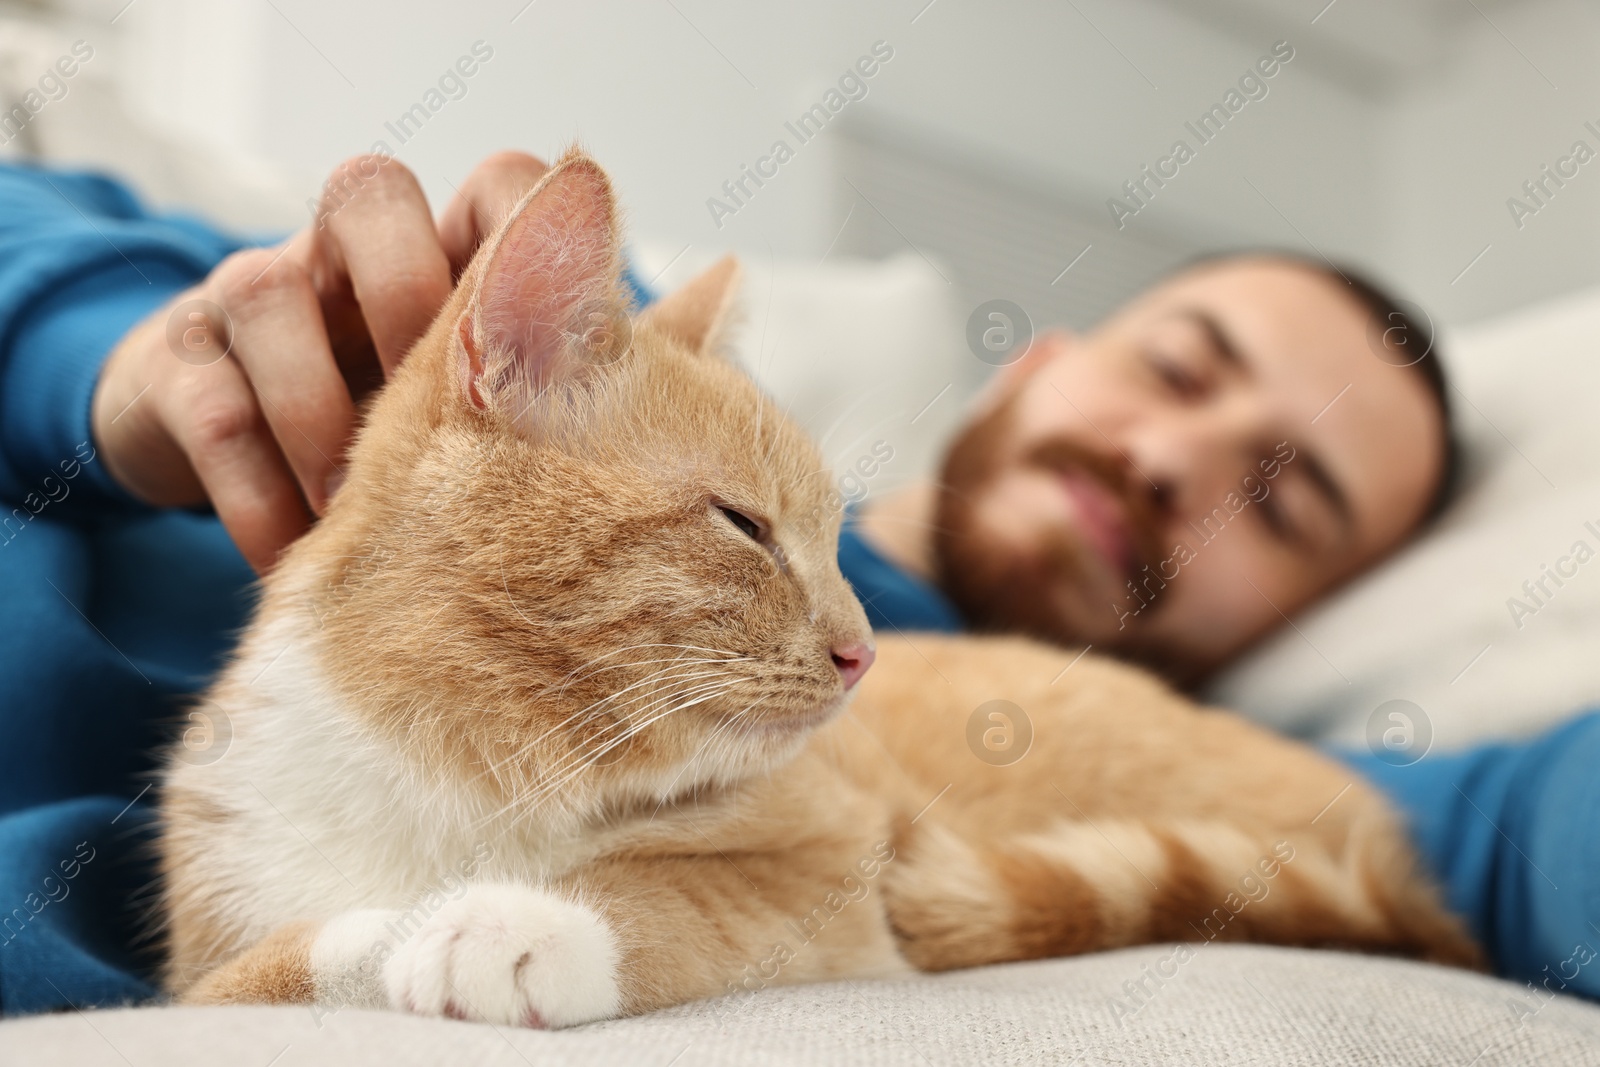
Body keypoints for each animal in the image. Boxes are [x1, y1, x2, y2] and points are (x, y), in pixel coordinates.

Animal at [156, 150, 1478, 1023]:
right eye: (744, 524)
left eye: (839, 542)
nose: (861, 651)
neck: (469, 770)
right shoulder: (207, 951)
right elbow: (279, 960)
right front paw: (410, 922)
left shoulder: (839, 871)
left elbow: (677, 897)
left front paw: (512, 917)